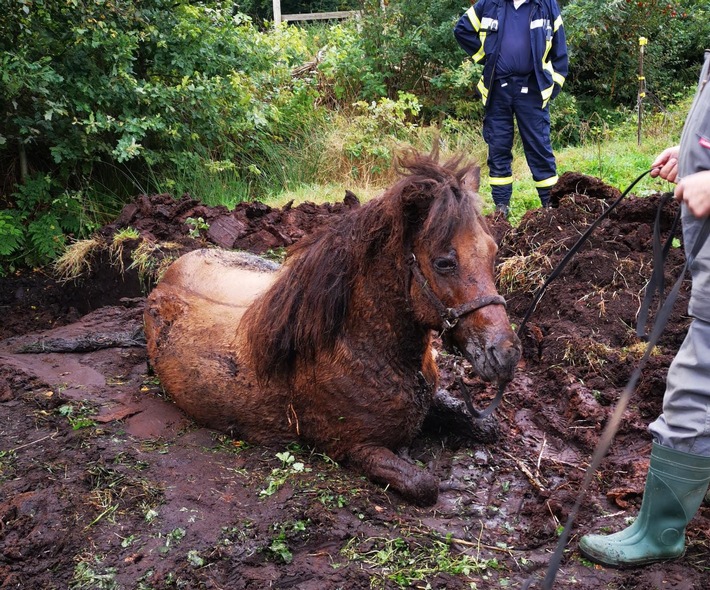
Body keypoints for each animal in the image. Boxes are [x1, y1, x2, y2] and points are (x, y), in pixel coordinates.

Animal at [145, 150, 524, 506]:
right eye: (444, 262)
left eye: (493, 251)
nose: (505, 354)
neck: (360, 348)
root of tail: (169, 272)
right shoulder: (354, 448)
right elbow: (424, 484)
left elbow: (483, 424)